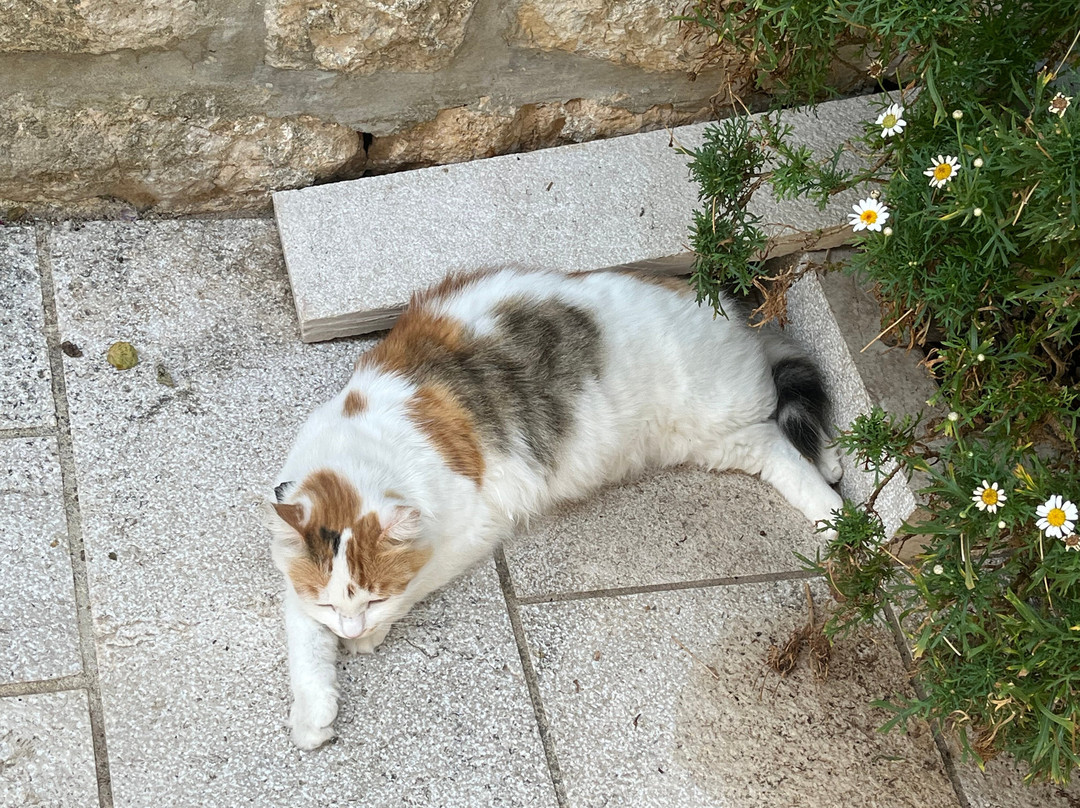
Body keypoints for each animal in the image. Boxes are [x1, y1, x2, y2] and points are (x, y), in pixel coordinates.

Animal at [267, 266, 843, 750]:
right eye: (329, 606)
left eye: (376, 598)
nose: (350, 630)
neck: (364, 452)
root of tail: (723, 306)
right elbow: (302, 632)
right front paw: (312, 711)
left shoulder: (474, 526)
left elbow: (417, 581)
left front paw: (371, 635)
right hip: (714, 438)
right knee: (783, 442)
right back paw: (835, 467)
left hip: (713, 418)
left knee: (779, 445)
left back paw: (835, 518)